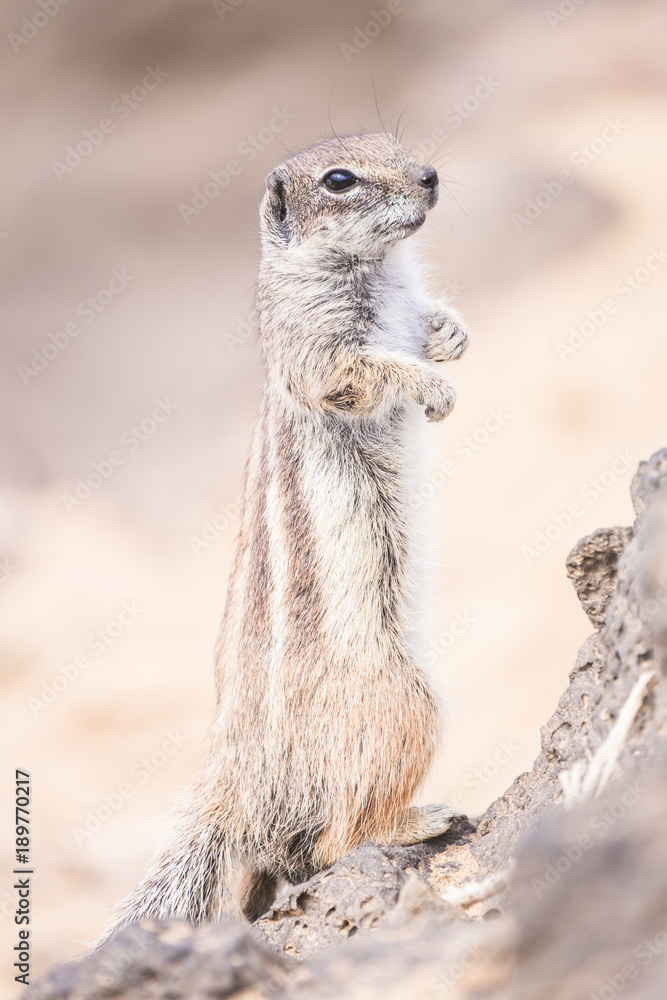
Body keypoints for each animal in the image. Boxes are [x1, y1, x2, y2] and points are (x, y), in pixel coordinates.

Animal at [103, 131, 470, 933]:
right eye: (338, 180)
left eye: (391, 141)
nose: (431, 176)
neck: (376, 271)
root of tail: (236, 782)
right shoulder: (317, 347)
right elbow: (361, 372)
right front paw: (432, 387)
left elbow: (424, 327)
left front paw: (450, 334)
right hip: (402, 701)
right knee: (340, 834)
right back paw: (420, 819)